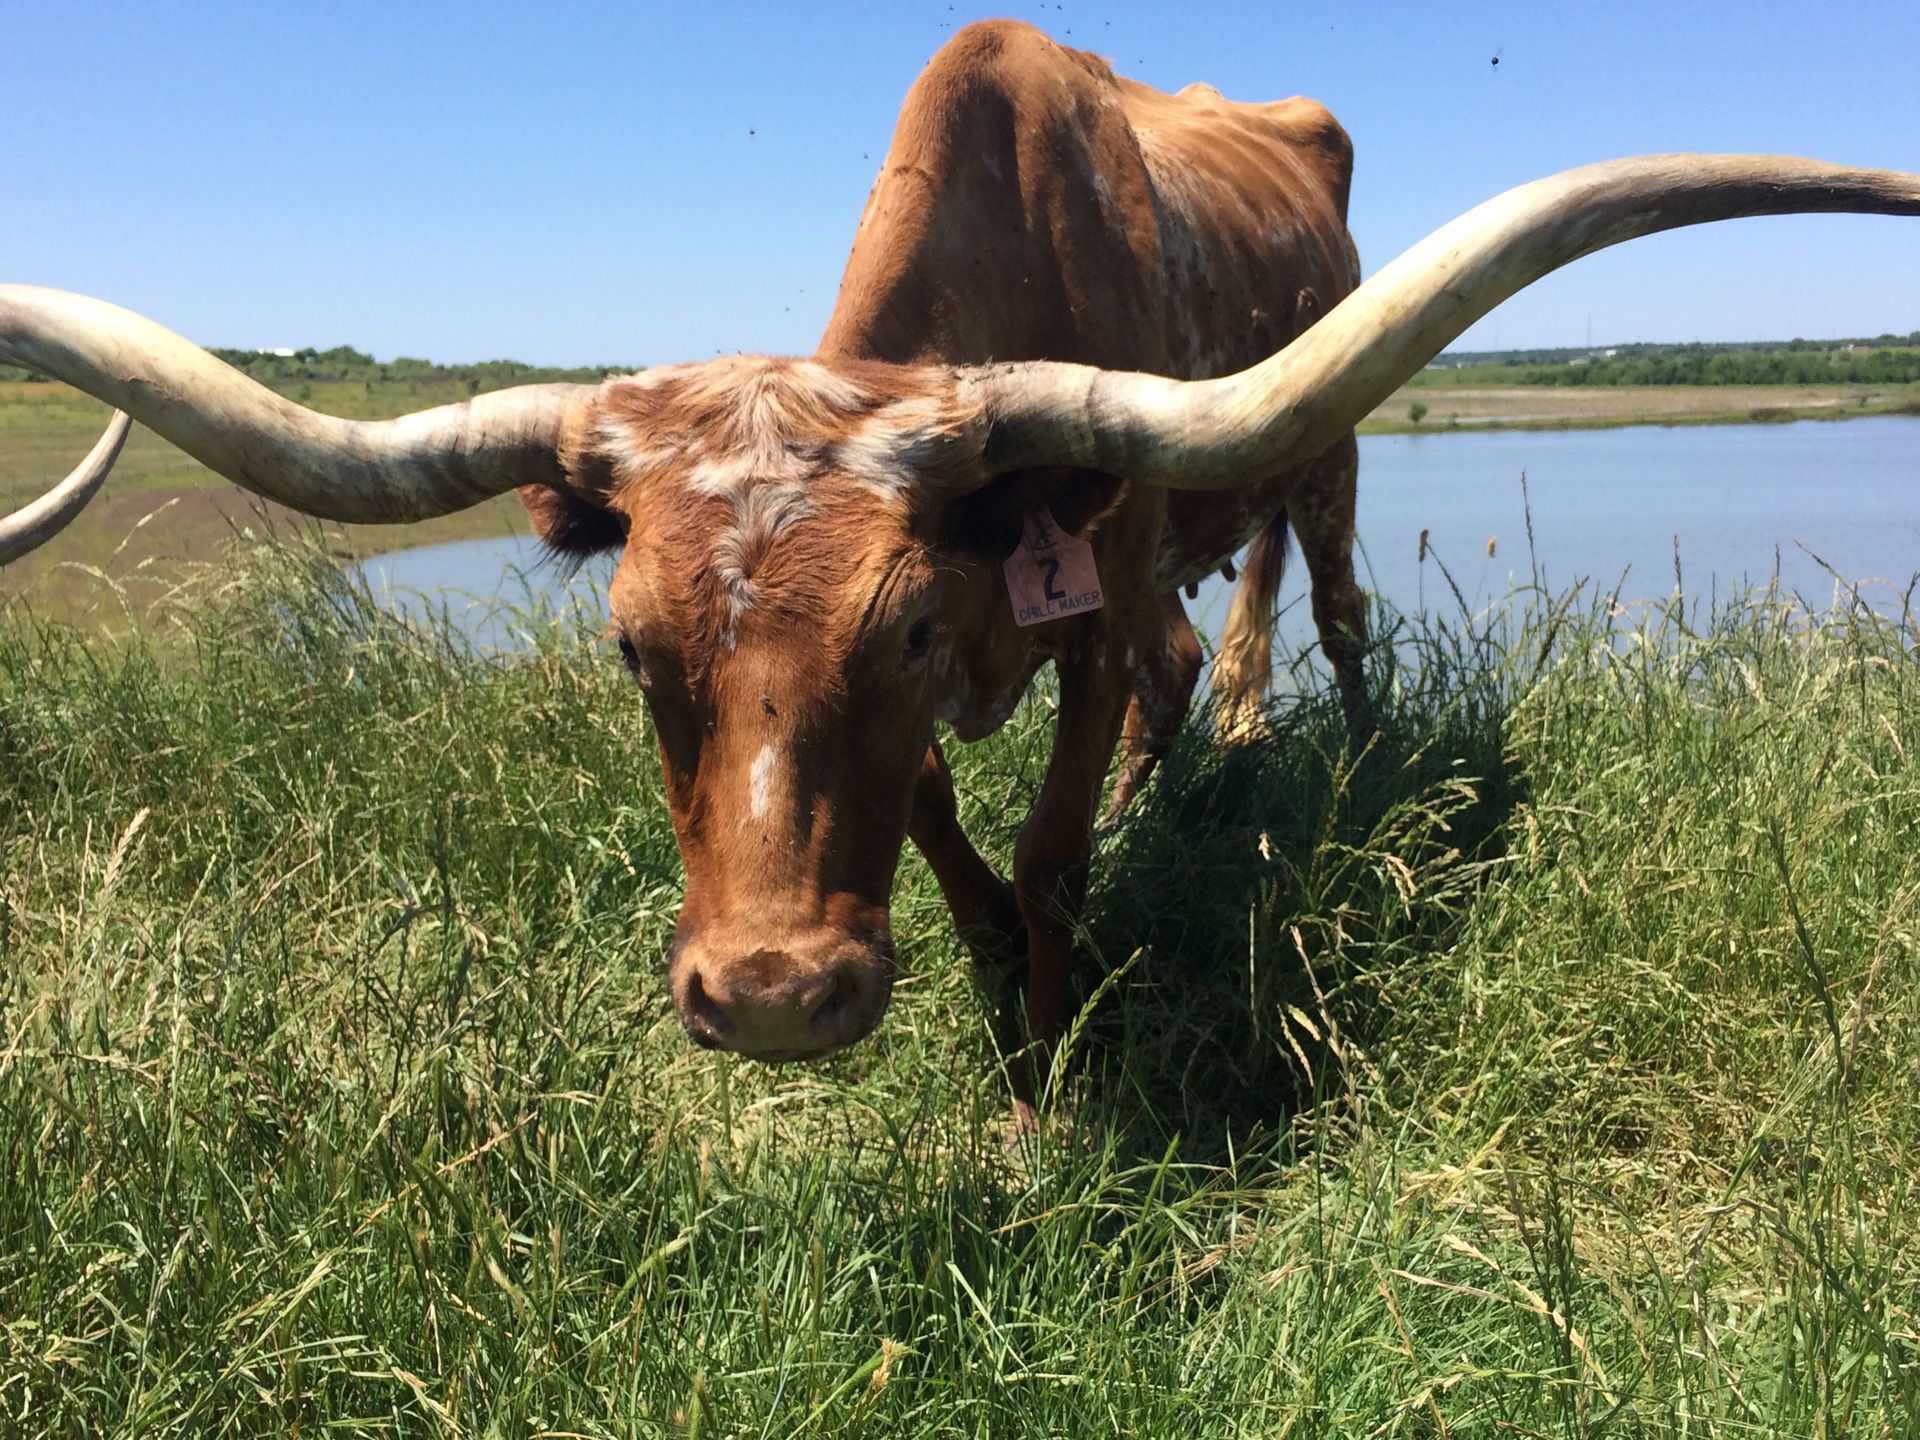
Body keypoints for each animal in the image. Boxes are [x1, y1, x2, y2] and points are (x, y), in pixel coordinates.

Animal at [5, 22, 1918, 1118]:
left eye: (915, 622)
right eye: (628, 649)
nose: (772, 1001)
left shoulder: (1075, 610)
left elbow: (1056, 859)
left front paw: (1040, 1095)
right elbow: (954, 849)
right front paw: (1003, 1005)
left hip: (1323, 457)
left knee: (1320, 614)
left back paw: (1332, 768)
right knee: (1195, 664)